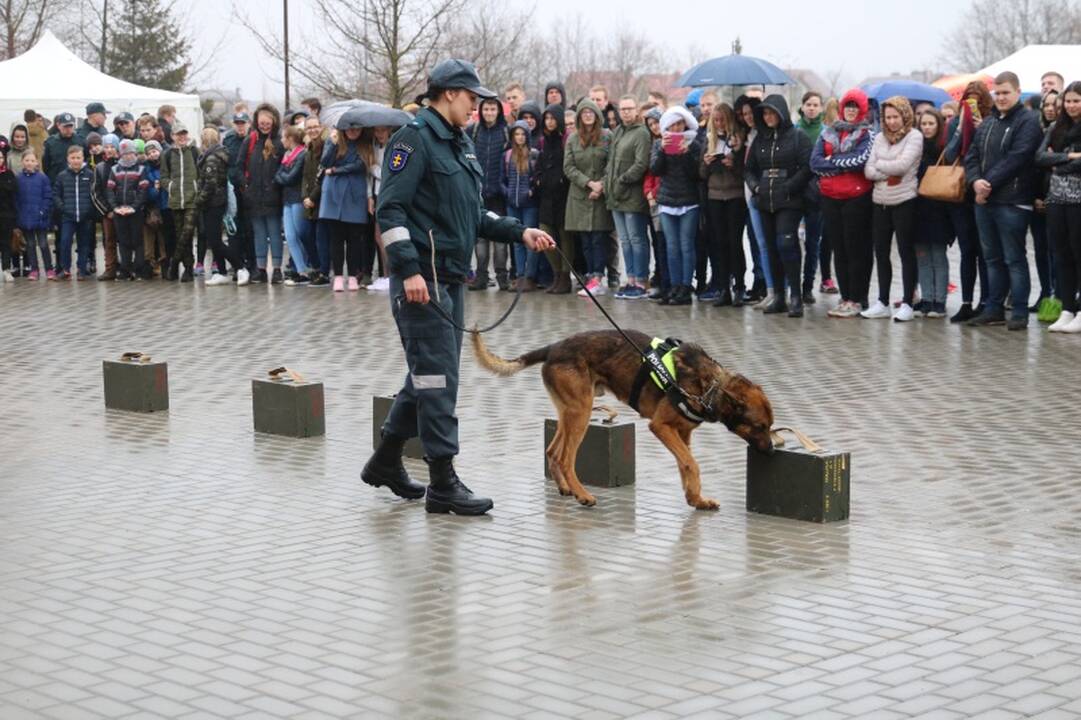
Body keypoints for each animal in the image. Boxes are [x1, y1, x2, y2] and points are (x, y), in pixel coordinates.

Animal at [469, 328, 773, 508]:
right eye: (759, 426)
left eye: (770, 426)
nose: (771, 451)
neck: (710, 386)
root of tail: (553, 347)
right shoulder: (660, 427)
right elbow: (691, 464)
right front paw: (694, 496)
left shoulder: (682, 434)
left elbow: (685, 465)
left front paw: (695, 498)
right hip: (581, 414)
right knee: (566, 459)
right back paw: (582, 494)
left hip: (570, 413)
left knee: (553, 452)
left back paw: (566, 488)